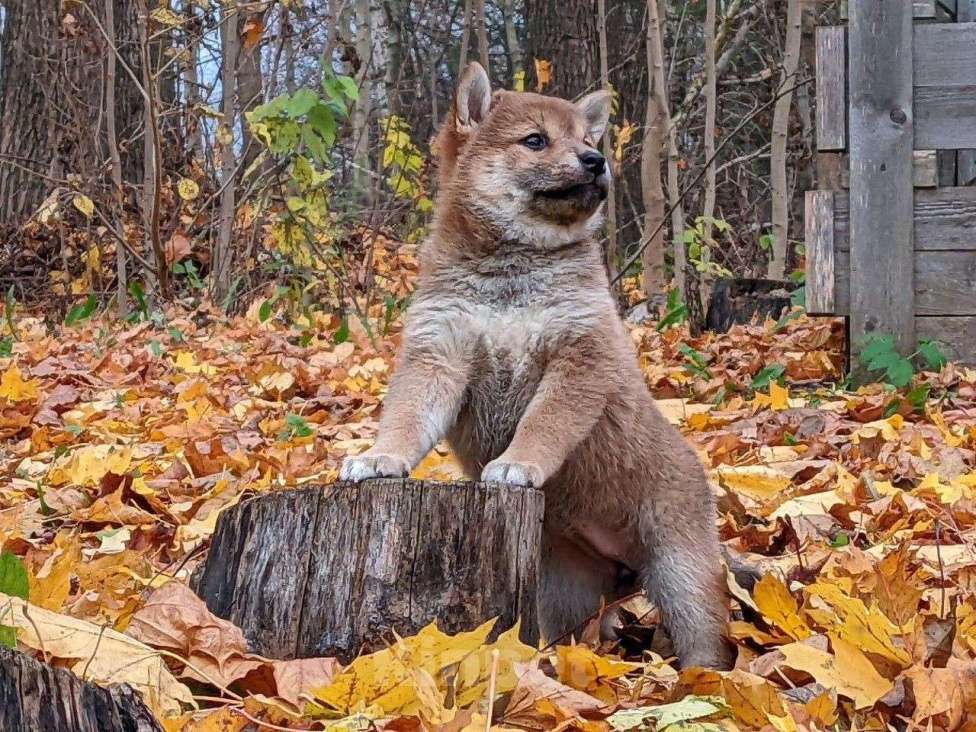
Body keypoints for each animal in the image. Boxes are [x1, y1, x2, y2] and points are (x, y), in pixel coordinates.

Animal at [344, 63, 732, 668]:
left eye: (587, 139)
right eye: (535, 140)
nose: (596, 161)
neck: (512, 272)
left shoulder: (579, 356)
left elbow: (542, 425)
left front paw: (517, 463)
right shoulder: (438, 352)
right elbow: (407, 419)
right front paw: (381, 459)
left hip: (681, 574)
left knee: (706, 640)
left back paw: (707, 683)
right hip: (566, 591)